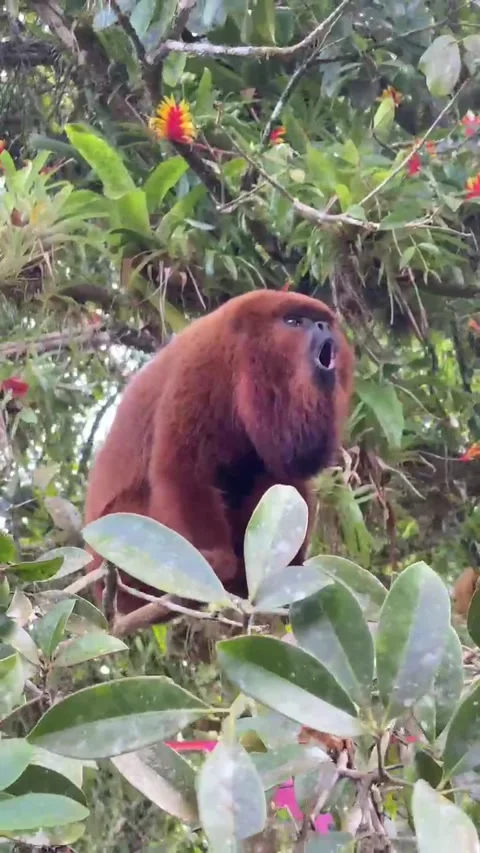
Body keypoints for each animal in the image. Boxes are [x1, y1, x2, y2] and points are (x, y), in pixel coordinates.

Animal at [84, 290, 354, 616]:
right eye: (294, 322)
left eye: (321, 321)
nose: (323, 328)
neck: (241, 360)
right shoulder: (200, 367)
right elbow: (182, 470)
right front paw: (216, 562)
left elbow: (289, 467)